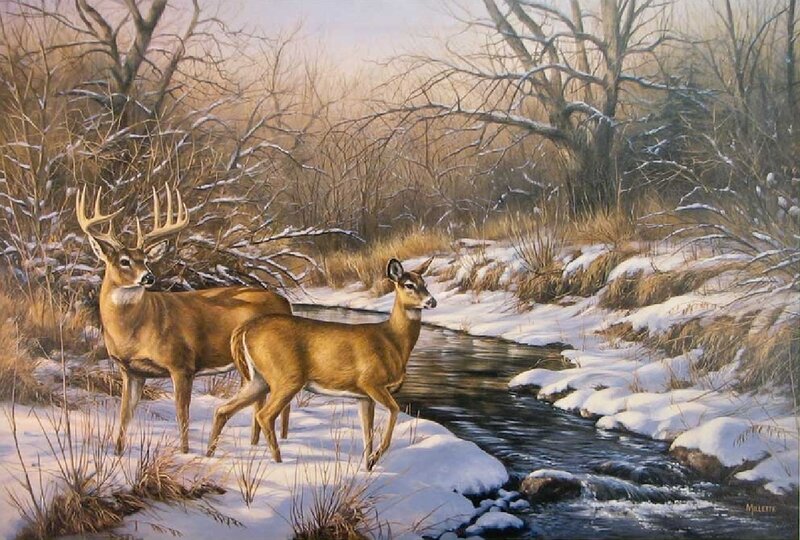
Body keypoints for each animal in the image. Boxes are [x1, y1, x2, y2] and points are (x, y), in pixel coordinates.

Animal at [76, 185, 292, 454]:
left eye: (146, 260)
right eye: (124, 261)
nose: (148, 277)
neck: (134, 331)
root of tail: (285, 302)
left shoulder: (182, 365)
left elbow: (182, 415)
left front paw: (185, 452)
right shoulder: (130, 371)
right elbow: (125, 414)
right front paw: (117, 452)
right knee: (260, 401)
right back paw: (255, 445)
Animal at [206, 257, 437, 470]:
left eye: (425, 282)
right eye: (409, 285)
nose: (432, 302)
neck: (392, 340)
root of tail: (244, 329)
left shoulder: (363, 396)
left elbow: (367, 433)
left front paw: (368, 465)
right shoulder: (371, 382)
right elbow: (394, 411)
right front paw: (375, 457)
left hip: (259, 379)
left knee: (222, 410)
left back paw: (209, 455)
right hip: (287, 377)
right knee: (264, 415)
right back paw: (278, 462)